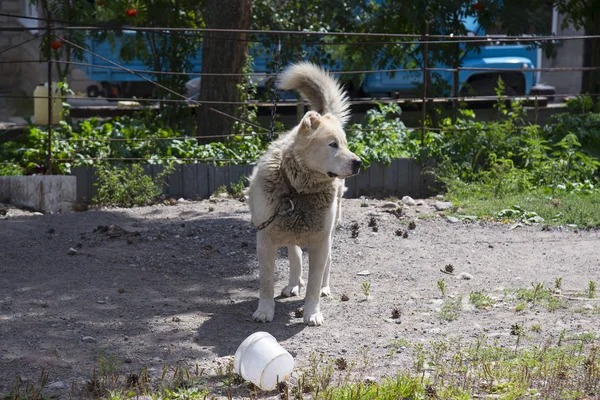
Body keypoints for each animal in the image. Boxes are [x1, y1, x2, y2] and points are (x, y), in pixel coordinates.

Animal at [247, 62, 360, 324]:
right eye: (332, 145)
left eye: (345, 144)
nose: (359, 163)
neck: (296, 189)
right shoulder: (264, 239)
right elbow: (266, 282)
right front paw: (264, 311)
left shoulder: (319, 241)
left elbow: (314, 283)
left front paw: (312, 313)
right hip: (289, 231)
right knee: (295, 255)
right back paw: (292, 284)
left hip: (329, 229)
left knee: (326, 262)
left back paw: (324, 288)